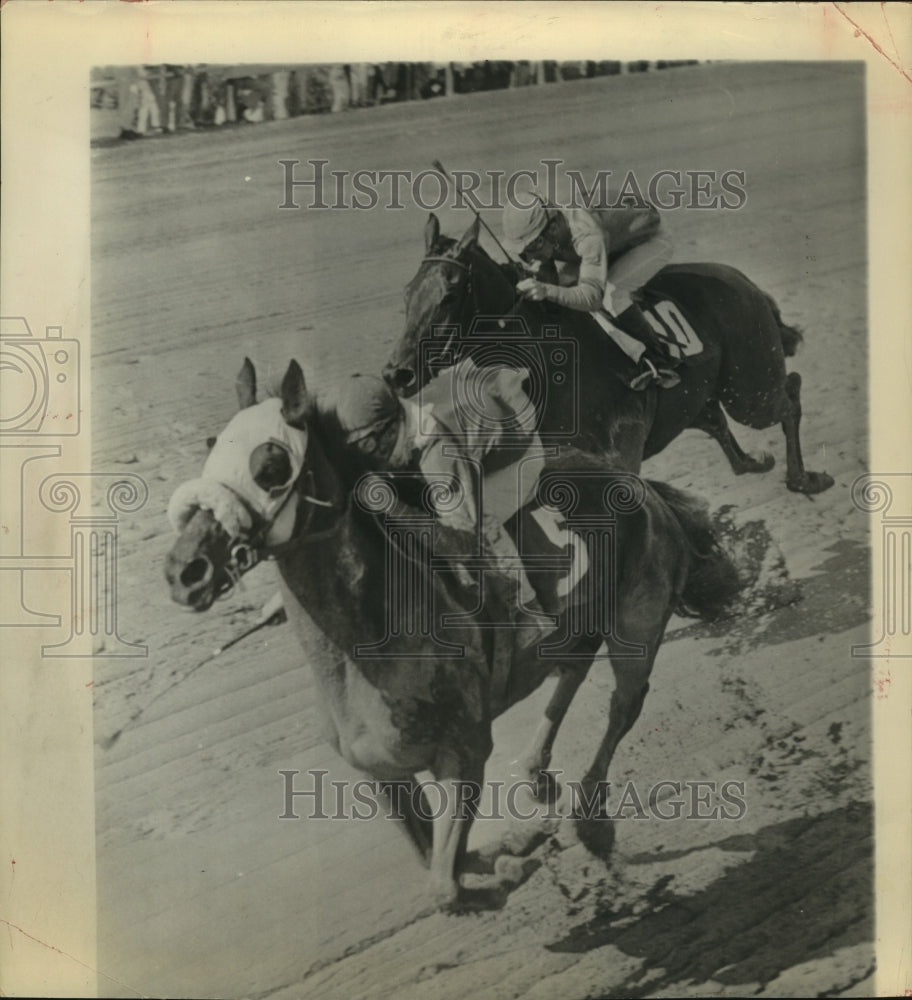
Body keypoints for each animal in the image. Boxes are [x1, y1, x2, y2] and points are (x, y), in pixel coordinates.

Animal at [164, 358, 740, 908]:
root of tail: (642, 487)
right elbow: (437, 861)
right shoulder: (382, 774)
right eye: (210, 453)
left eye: (271, 466)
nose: (183, 571)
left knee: (625, 703)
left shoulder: (463, 754)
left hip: (636, 623)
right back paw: (536, 771)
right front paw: (509, 850)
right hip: (579, 626)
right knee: (573, 672)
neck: (365, 652)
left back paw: (588, 819)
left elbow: (444, 888)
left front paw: (517, 860)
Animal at [382, 213, 832, 494]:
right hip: (698, 396)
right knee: (716, 420)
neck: (546, 367)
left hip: (749, 387)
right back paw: (755, 462)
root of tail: (743, 280)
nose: (397, 374)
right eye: (406, 293)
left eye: (449, 295)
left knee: (789, 393)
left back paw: (804, 478)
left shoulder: (619, 459)